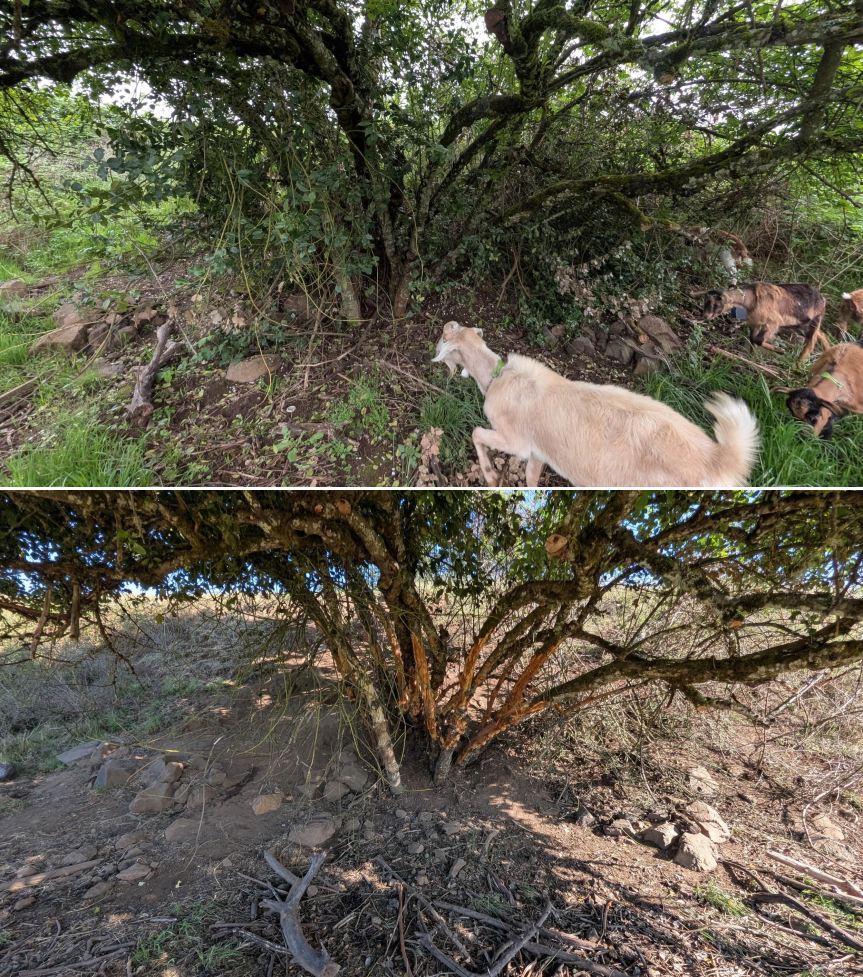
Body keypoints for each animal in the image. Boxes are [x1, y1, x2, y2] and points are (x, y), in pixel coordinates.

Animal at [432, 321, 759, 487]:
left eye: (443, 338)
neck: (497, 376)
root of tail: (718, 458)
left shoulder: (516, 440)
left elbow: (476, 432)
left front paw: (489, 475)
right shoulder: (538, 452)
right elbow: (530, 479)